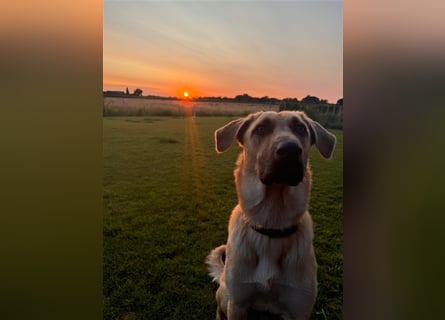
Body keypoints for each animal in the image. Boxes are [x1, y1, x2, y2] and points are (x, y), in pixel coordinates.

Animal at [206, 110, 334, 320]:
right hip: (225, 295)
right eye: (261, 128)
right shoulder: (238, 303)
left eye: (300, 128)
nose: (290, 150)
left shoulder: (298, 310)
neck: (272, 223)